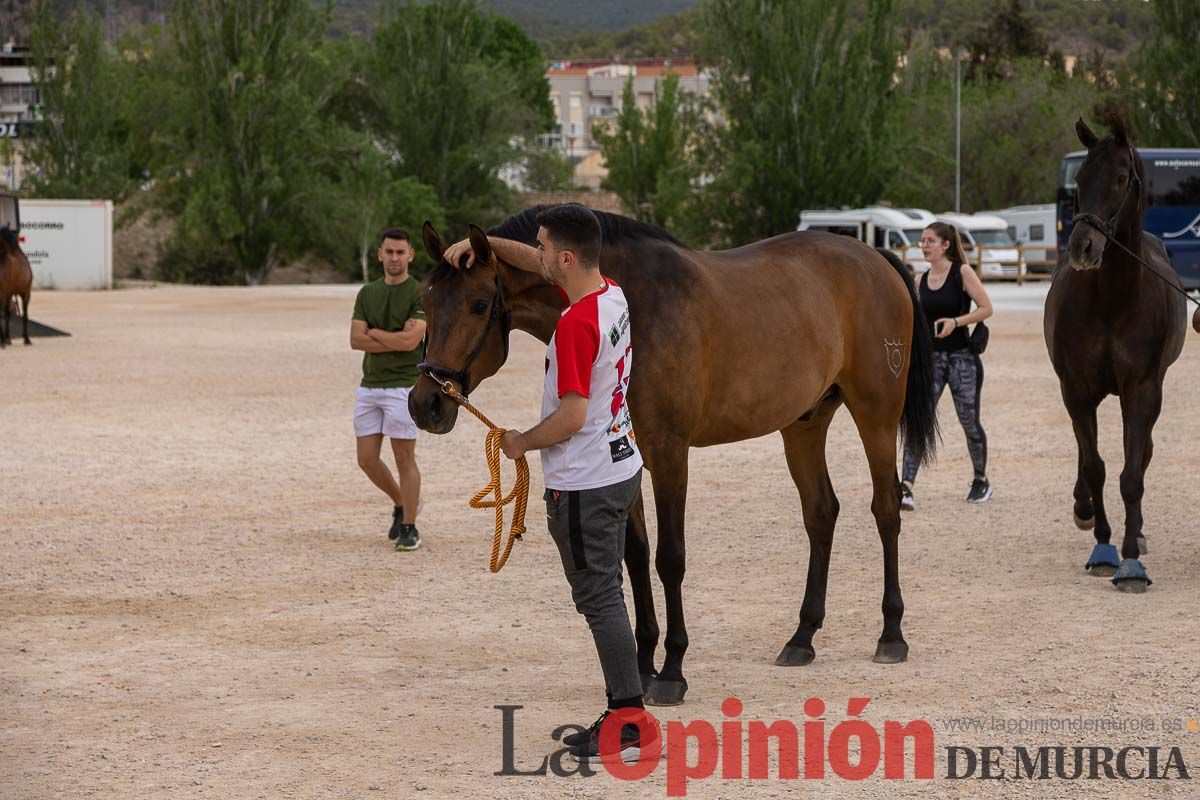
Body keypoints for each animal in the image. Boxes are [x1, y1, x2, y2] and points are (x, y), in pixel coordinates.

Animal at [410, 209, 936, 705]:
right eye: (426, 303)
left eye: (479, 304)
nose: (424, 404)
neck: (637, 304)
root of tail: (873, 259)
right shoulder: (627, 456)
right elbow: (635, 556)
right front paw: (642, 663)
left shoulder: (669, 453)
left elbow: (670, 558)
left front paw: (672, 672)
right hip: (804, 424)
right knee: (821, 513)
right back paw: (802, 637)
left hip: (876, 415)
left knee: (886, 509)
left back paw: (891, 634)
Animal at [1046, 117, 1185, 594]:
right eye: (1081, 179)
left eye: (1122, 177)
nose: (1082, 247)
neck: (1110, 301)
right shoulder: (1076, 391)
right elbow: (1095, 467)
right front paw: (1104, 548)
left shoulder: (1141, 390)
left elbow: (1131, 474)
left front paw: (1129, 560)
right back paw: (1084, 508)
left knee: (1141, 453)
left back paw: (1137, 532)